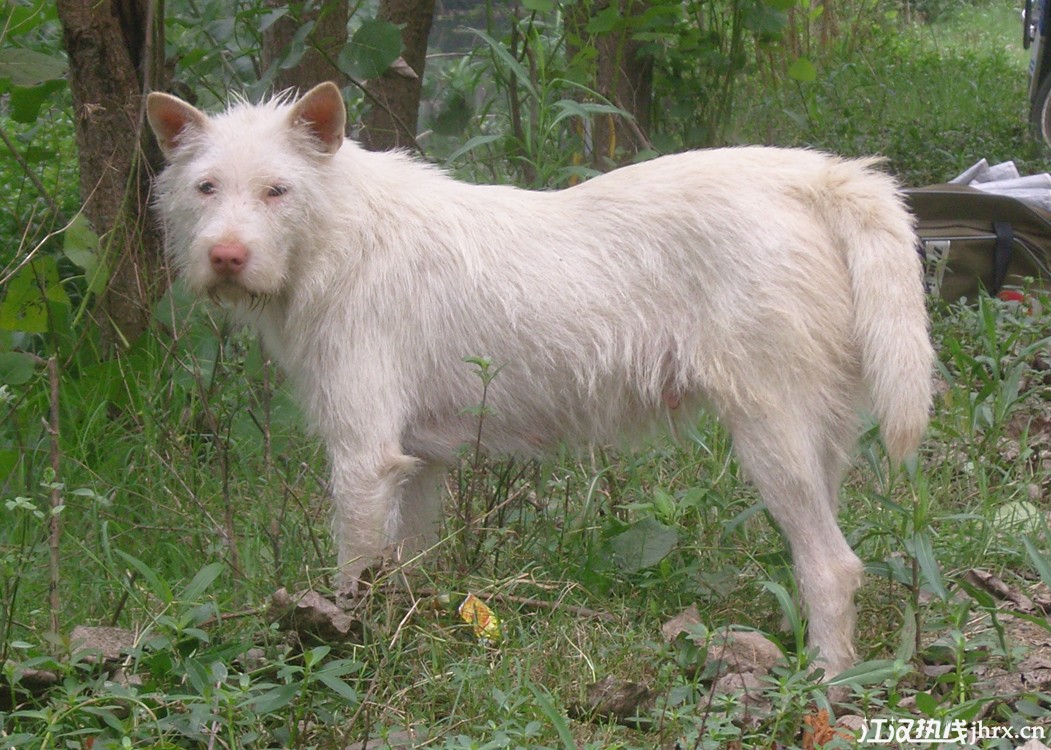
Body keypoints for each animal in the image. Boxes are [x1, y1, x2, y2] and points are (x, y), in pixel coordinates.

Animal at [150, 81, 937, 672]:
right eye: (207, 188)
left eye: (276, 190)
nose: (225, 257)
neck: (341, 234)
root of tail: (819, 174)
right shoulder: (417, 465)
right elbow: (402, 575)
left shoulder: (363, 460)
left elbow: (352, 583)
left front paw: (343, 658)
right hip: (811, 449)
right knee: (822, 559)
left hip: (770, 444)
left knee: (834, 567)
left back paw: (822, 687)